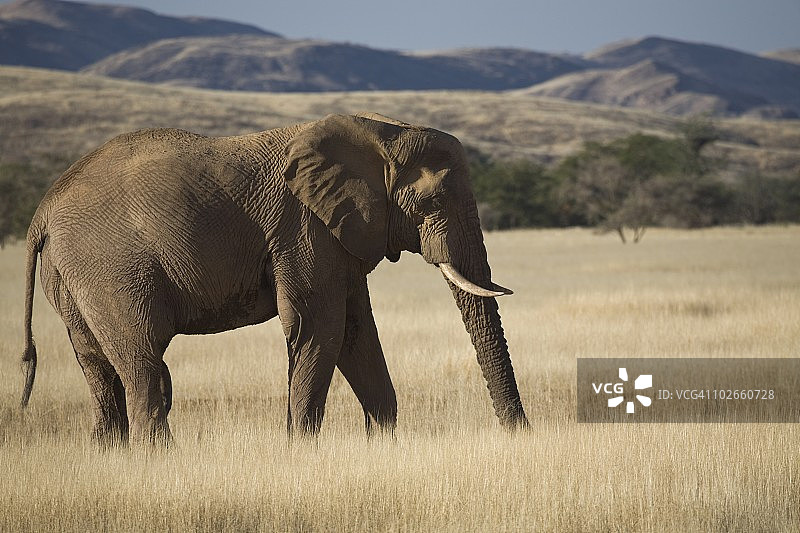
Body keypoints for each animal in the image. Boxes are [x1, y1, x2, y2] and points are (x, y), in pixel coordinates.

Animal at [18, 113, 528, 446]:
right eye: (434, 202)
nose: (518, 434)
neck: (381, 132)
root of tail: (42, 210)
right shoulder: (302, 227)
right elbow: (320, 328)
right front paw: (301, 451)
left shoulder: (337, 235)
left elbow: (356, 333)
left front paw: (381, 445)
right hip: (109, 268)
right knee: (145, 368)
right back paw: (157, 459)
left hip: (72, 275)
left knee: (97, 368)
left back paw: (111, 452)